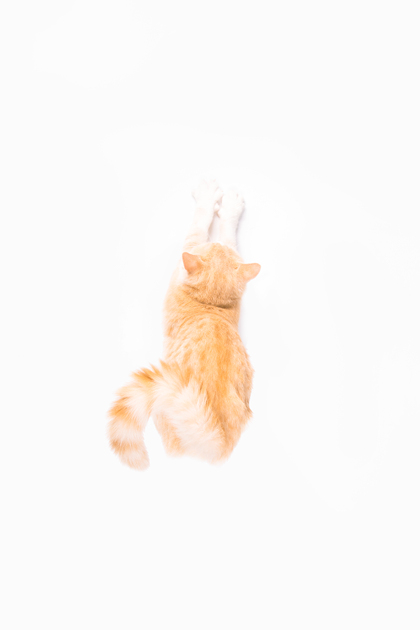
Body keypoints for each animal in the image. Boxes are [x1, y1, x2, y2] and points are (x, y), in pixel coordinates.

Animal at [108, 180, 260, 470]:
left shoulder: (189, 247)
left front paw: (215, 203)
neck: (210, 306)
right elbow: (228, 237)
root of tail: (215, 441)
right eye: (215, 248)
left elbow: (201, 224)